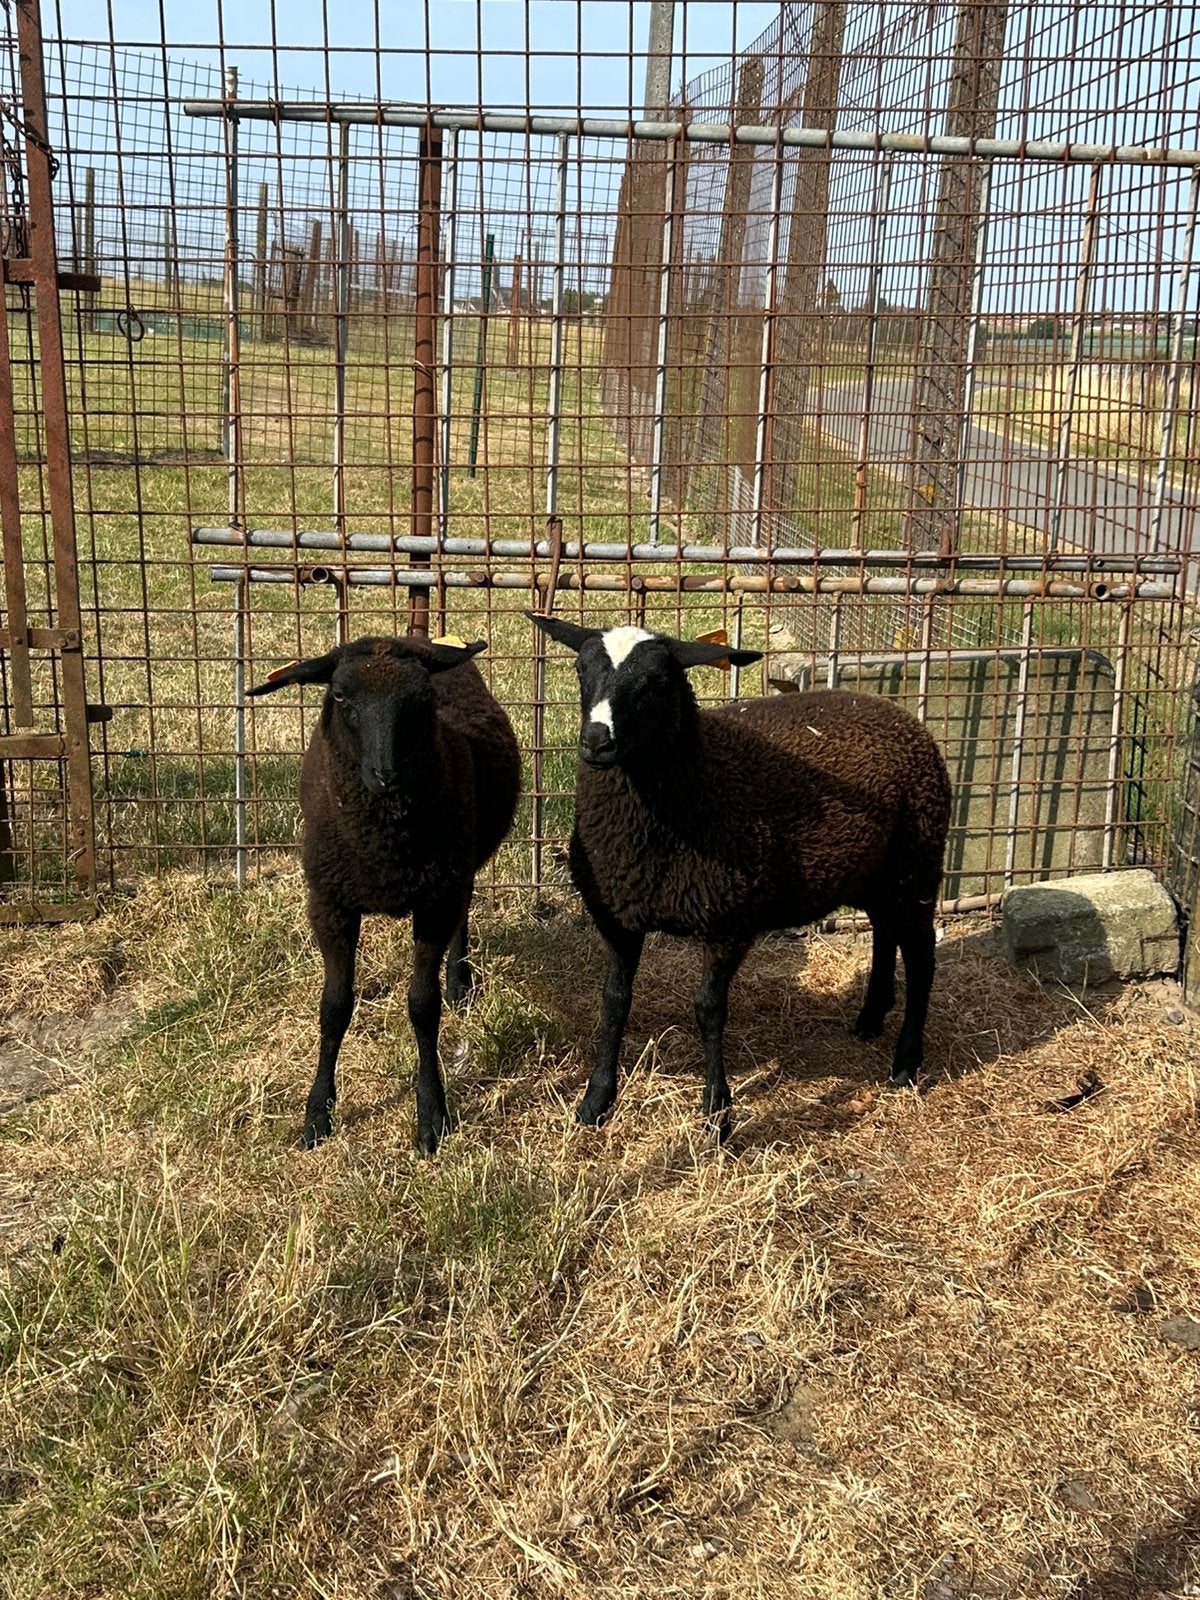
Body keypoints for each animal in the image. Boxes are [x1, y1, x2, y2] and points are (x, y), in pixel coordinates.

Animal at [247, 633, 520, 1153]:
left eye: (421, 697)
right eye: (339, 696)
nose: (386, 773)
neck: (382, 843)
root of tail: (417, 635)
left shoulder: (434, 901)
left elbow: (423, 1007)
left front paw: (432, 1115)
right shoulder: (330, 904)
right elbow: (333, 1007)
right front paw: (318, 1115)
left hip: (459, 867)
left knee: (464, 913)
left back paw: (460, 981)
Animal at [528, 613, 951, 1137]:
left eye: (656, 682)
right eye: (580, 670)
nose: (596, 742)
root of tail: (901, 715)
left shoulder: (728, 921)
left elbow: (709, 1010)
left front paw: (717, 1113)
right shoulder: (619, 916)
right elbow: (614, 1001)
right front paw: (595, 1102)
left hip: (917, 865)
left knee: (921, 955)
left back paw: (905, 1064)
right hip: (878, 874)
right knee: (884, 933)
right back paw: (870, 1018)